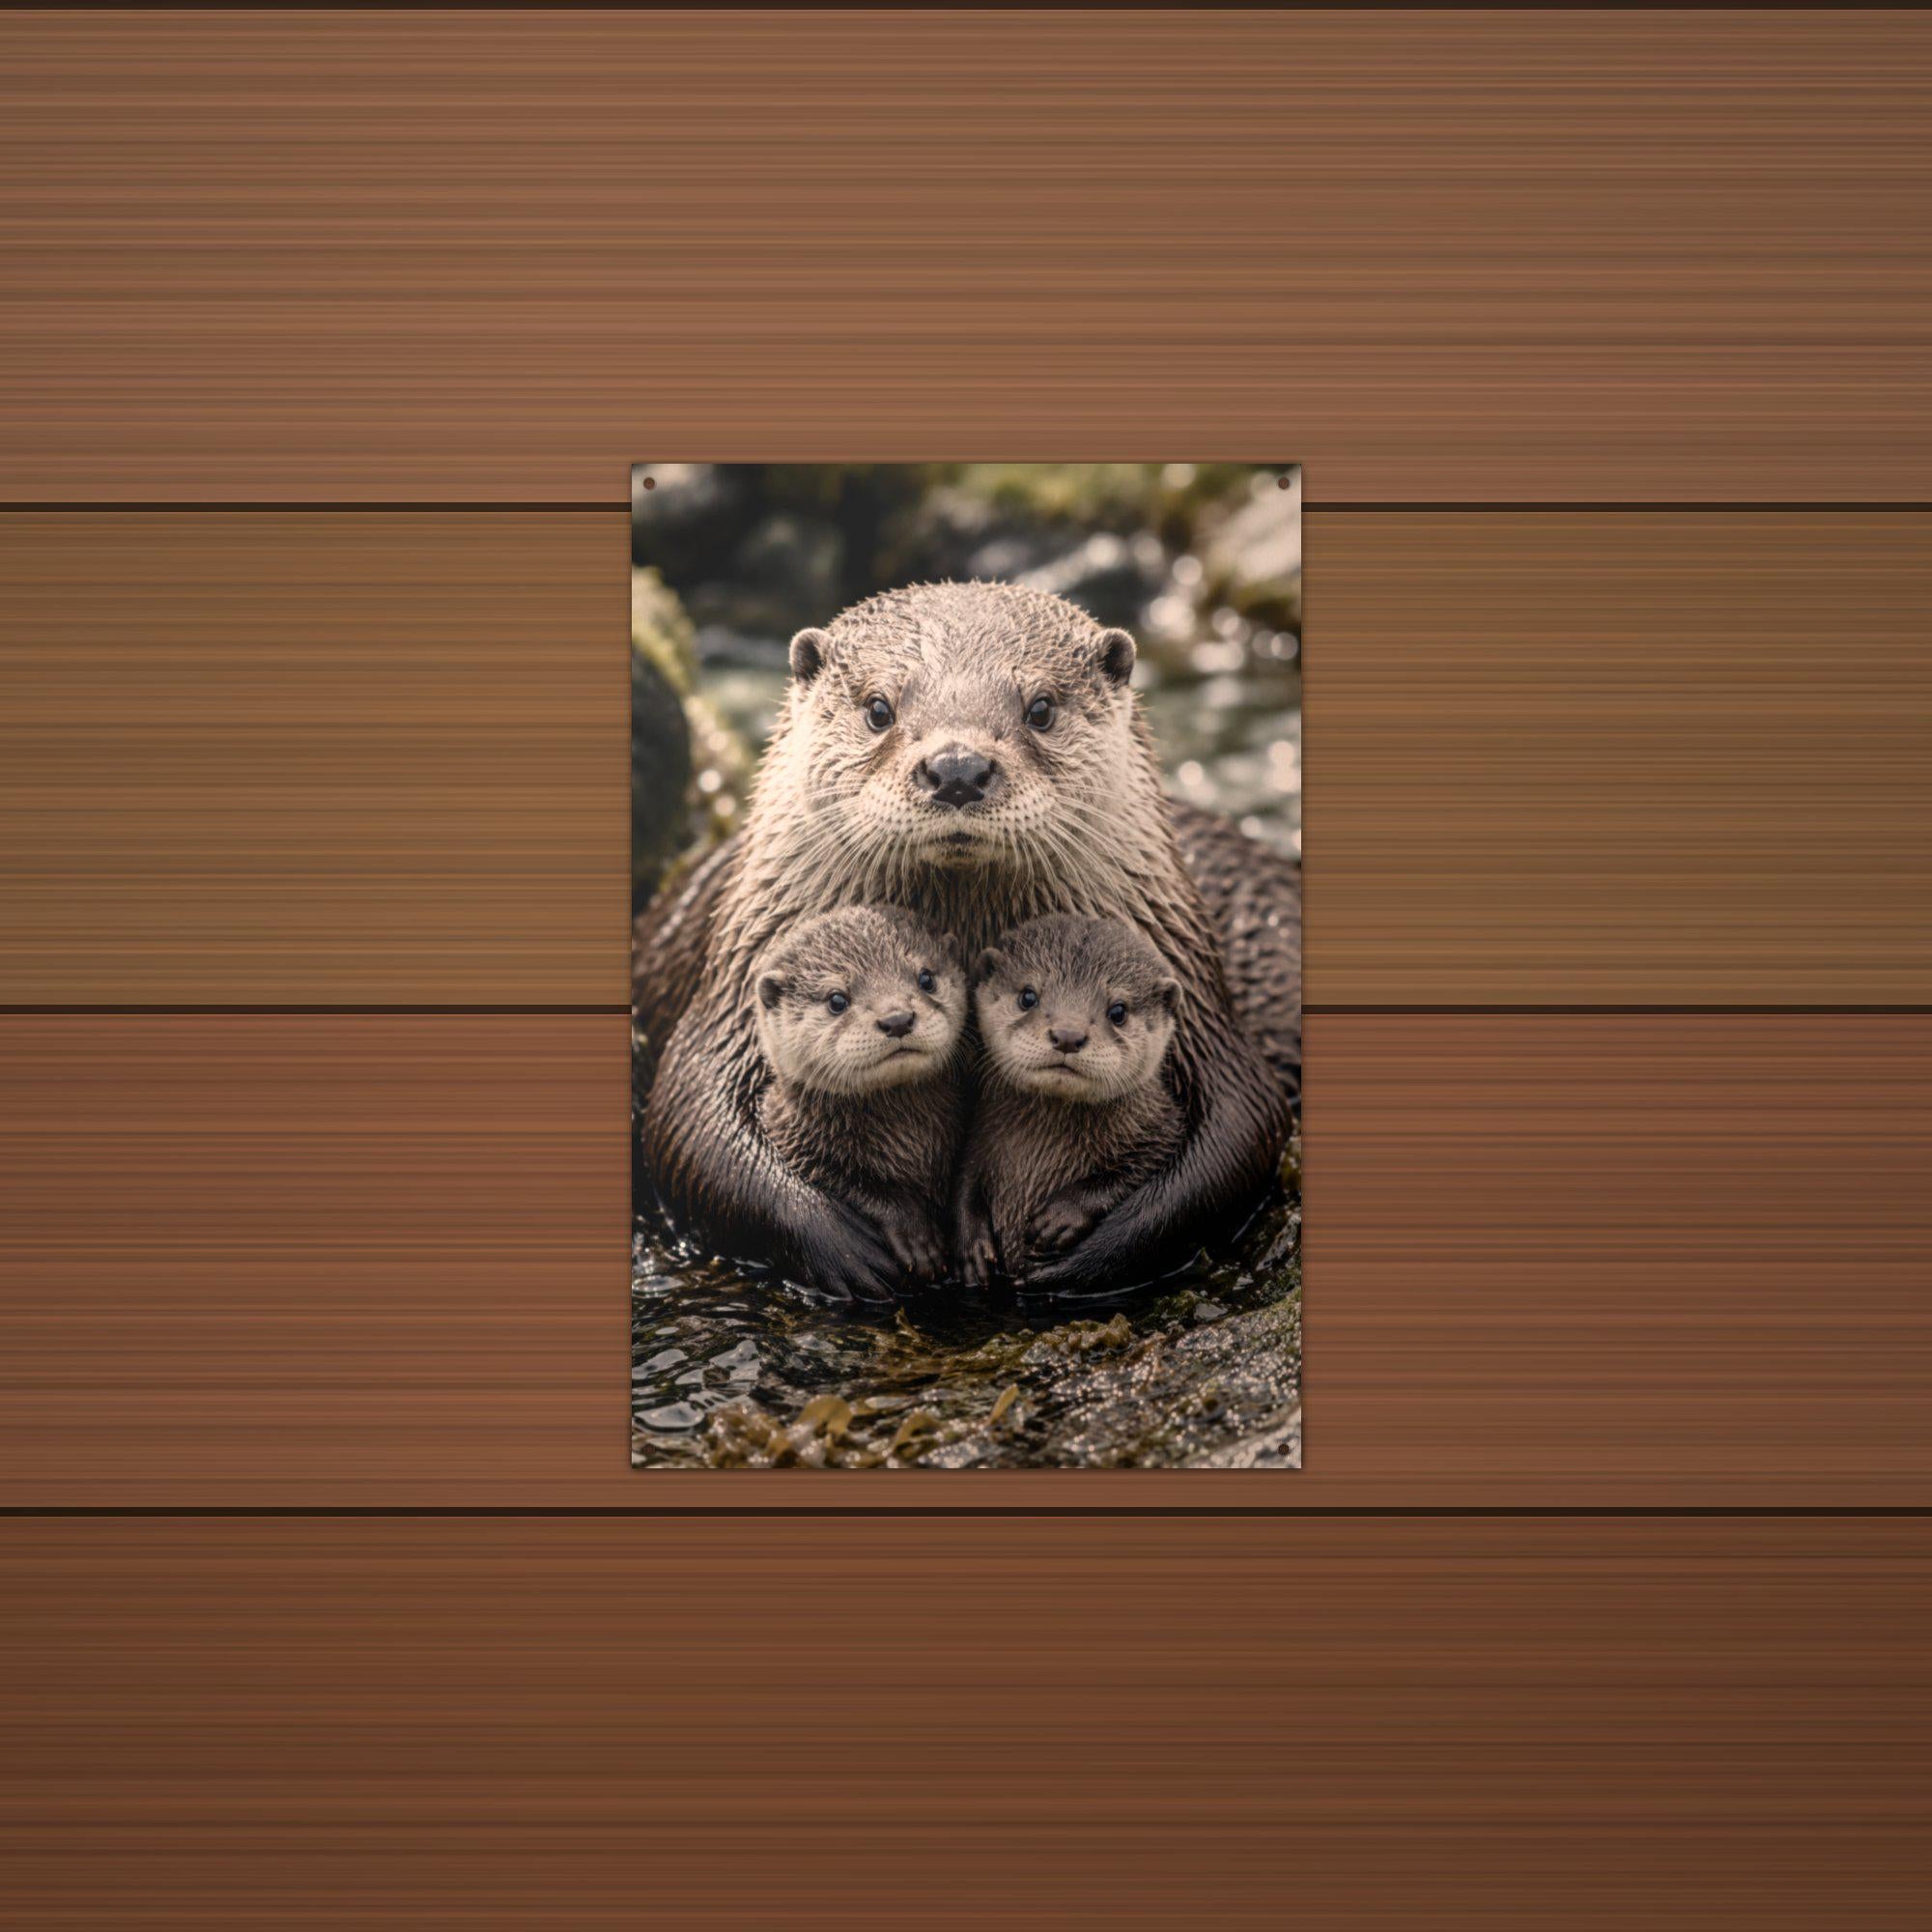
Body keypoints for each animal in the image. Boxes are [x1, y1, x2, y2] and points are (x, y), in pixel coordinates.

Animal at [752, 906, 967, 1281]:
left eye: (926, 978)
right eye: (837, 999)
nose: (897, 1019)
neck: (908, 1140)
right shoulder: (797, 1143)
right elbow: (855, 1186)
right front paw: (916, 1235)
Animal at [955, 917, 1186, 1287]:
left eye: (1118, 1011)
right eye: (1028, 996)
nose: (1067, 1035)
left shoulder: (1164, 1127)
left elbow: (1136, 1168)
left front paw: (1063, 1215)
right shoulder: (977, 1134)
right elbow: (964, 1182)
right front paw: (972, 1245)